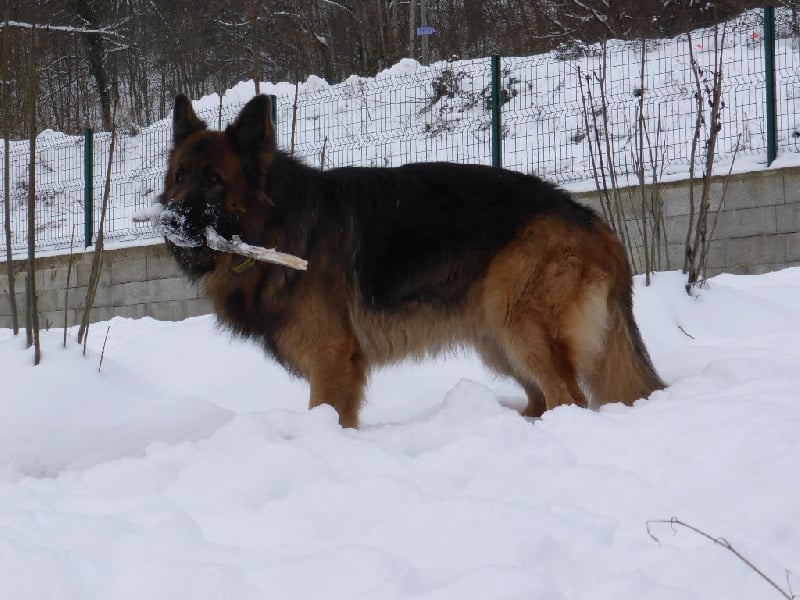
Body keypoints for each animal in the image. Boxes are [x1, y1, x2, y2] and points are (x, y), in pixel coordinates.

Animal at [159, 93, 663, 428]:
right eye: (179, 176)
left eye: (213, 179)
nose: (168, 220)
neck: (276, 222)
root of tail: (591, 219)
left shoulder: (331, 359)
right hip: (496, 338)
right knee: (542, 396)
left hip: (519, 327)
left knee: (569, 396)